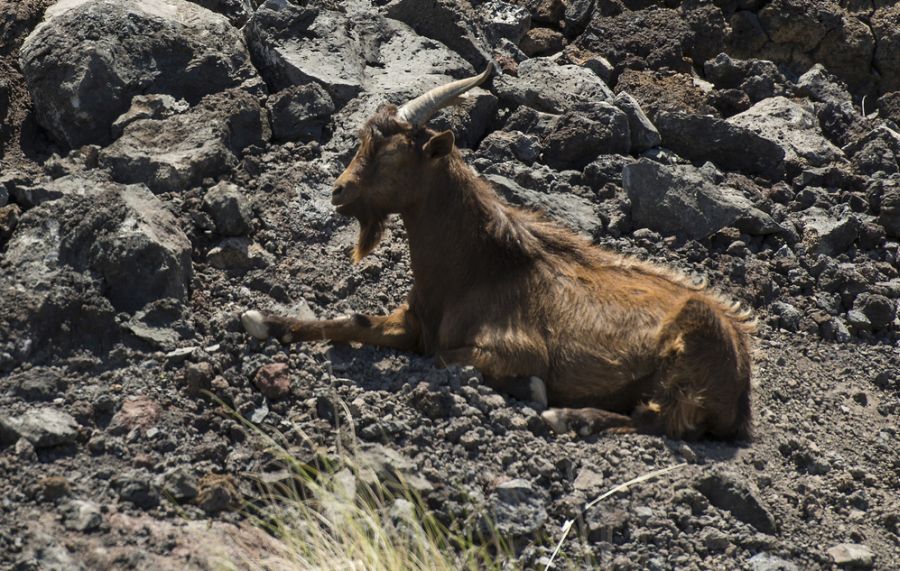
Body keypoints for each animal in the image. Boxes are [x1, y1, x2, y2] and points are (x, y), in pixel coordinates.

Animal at [243, 68, 756, 442]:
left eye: (390, 156)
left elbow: (445, 358)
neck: (476, 267)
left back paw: (568, 418)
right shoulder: (413, 323)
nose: (338, 192)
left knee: (659, 419)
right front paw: (262, 319)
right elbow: (354, 321)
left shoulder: (515, 347)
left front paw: (531, 390)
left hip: (687, 355)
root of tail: (741, 382)